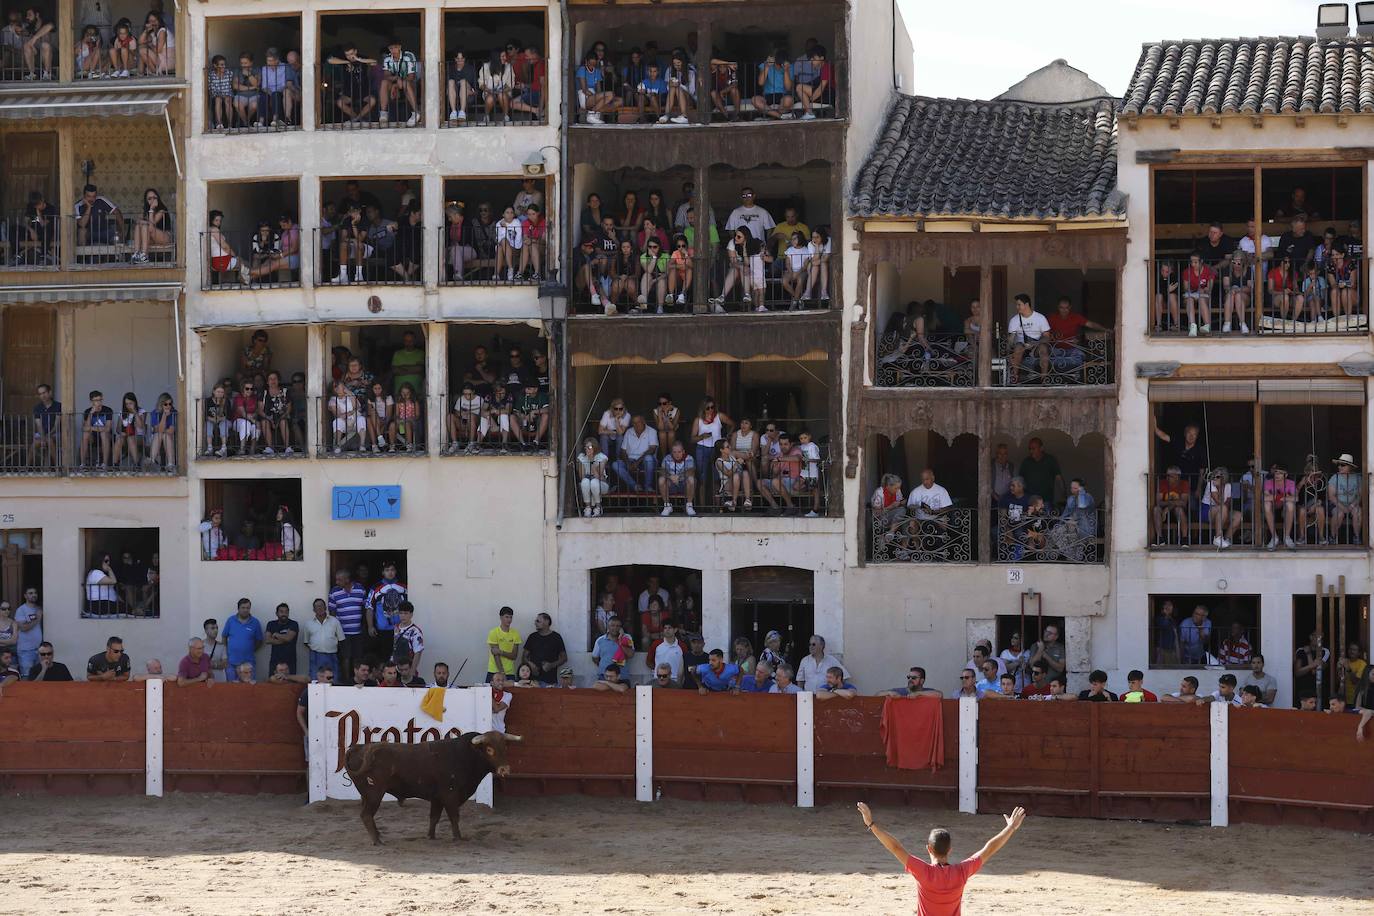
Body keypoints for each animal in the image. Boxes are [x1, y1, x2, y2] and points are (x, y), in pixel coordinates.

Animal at [343, 730, 519, 845]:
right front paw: (458, 838)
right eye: (489, 749)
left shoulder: (437, 798)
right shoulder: (450, 795)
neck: (466, 755)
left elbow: (434, 817)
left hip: (366, 795)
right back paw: (378, 841)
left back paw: (379, 837)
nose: (505, 769)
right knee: (366, 815)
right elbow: (454, 816)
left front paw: (431, 836)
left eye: (505, 748)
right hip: (375, 793)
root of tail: (358, 748)